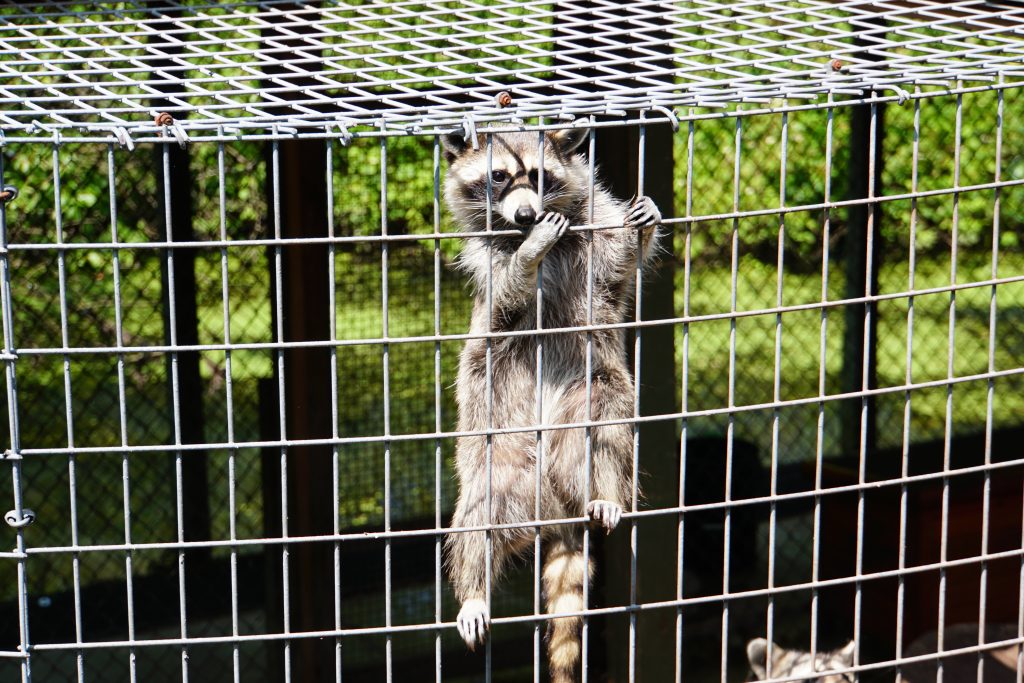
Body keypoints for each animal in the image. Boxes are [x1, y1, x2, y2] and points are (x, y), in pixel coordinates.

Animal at [441, 128, 661, 682]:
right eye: (498, 177)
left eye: (540, 176)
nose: (526, 216)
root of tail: (555, 508)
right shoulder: (489, 265)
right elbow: (508, 295)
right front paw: (528, 256)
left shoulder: (594, 239)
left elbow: (618, 271)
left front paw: (642, 230)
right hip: (499, 466)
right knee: (475, 517)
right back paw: (473, 592)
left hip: (584, 406)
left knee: (606, 415)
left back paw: (603, 493)